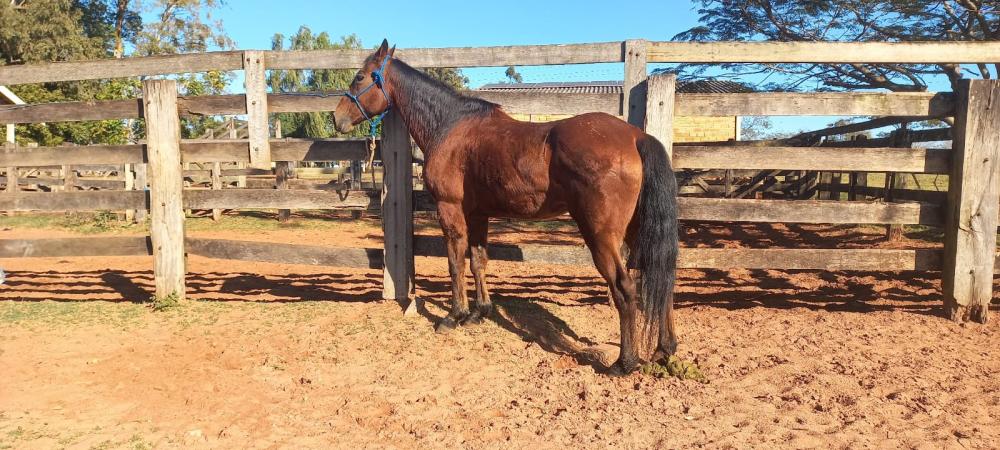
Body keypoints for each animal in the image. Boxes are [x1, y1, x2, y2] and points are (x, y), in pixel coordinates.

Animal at [333, 40, 679, 373]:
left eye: (360, 76)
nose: (336, 118)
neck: (449, 126)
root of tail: (635, 137)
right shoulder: (478, 215)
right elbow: (478, 262)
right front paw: (479, 313)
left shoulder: (450, 209)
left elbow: (455, 263)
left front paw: (454, 316)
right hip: (636, 231)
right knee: (661, 277)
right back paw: (665, 349)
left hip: (602, 236)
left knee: (625, 287)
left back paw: (625, 362)